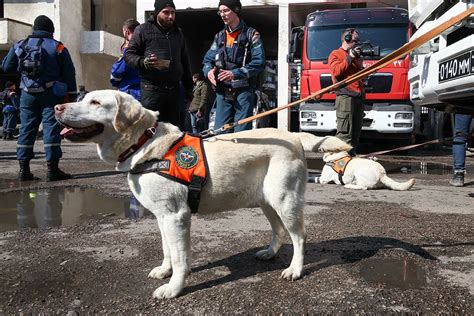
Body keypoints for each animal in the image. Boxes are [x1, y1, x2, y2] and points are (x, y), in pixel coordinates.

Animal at [55, 89, 352, 298]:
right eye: (83, 98)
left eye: (95, 102)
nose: (57, 106)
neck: (144, 144)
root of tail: (294, 135)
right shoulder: (162, 216)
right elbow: (167, 249)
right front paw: (164, 271)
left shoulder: (176, 216)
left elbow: (179, 256)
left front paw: (173, 288)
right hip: (266, 200)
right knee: (279, 230)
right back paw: (269, 253)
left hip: (284, 200)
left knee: (299, 236)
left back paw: (295, 269)